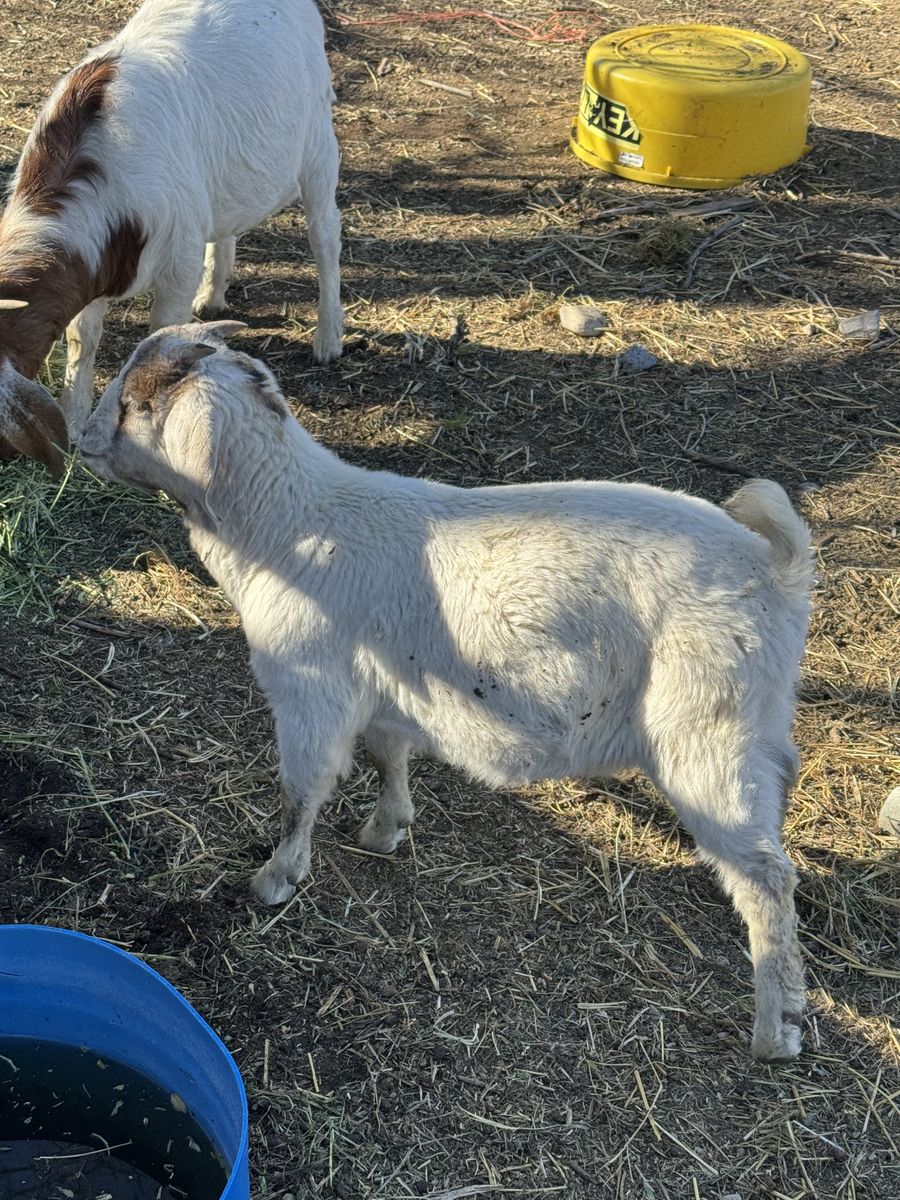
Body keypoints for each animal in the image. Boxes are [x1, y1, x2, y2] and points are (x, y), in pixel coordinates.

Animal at [0, 0, 343, 476]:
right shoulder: (93, 268)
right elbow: (81, 338)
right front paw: (74, 418)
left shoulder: (178, 262)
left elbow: (163, 336)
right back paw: (213, 296)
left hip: (317, 147)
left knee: (325, 235)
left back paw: (328, 339)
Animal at [80, 323, 814, 1062]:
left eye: (137, 403)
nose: (80, 435)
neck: (287, 527)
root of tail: (775, 567)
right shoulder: (382, 688)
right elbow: (388, 754)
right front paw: (386, 828)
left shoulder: (310, 692)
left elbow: (301, 793)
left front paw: (276, 878)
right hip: (756, 724)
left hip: (705, 734)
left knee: (767, 876)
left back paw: (775, 1027)